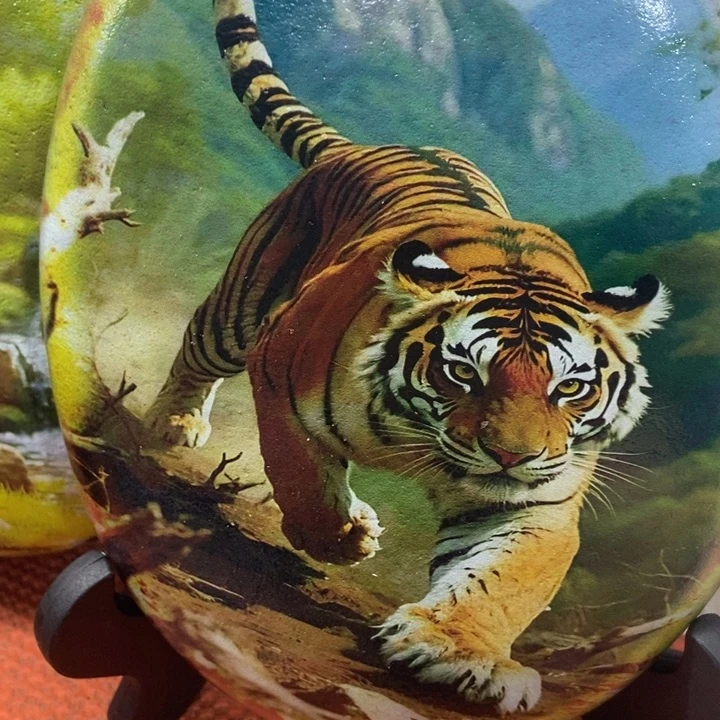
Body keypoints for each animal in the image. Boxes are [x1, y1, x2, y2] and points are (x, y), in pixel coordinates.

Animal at [145, 0, 671, 713]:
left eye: (570, 388)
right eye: (464, 372)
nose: (512, 456)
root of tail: (365, 146)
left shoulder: (536, 503)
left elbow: (507, 580)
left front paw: (457, 652)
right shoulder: (278, 369)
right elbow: (301, 478)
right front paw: (344, 537)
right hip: (242, 308)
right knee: (196, 350)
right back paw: (171, 423)